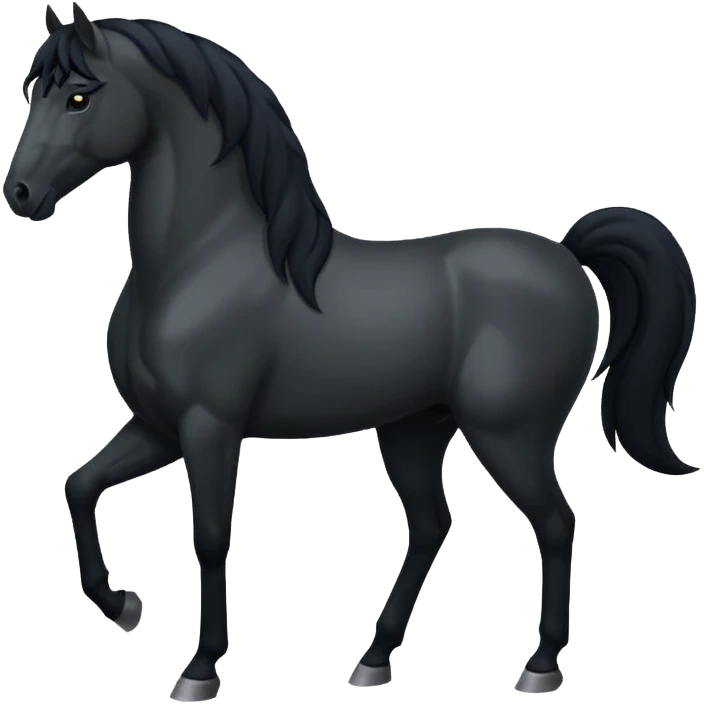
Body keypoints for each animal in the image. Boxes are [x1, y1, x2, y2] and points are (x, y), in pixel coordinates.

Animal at [4, 3, 698, 699]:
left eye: (79, 95)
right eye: (32, 93)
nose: (20, 195)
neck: (198, 259)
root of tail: (566, 254)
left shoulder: (209, 427)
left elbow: (209, 537)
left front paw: (200, 670)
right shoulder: (156, 425)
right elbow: (80, 485)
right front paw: (124, 605)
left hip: (510, 435)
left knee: (555, 524)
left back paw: (540, 666)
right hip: (415, 429)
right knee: (431, 526)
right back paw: (374, 658)